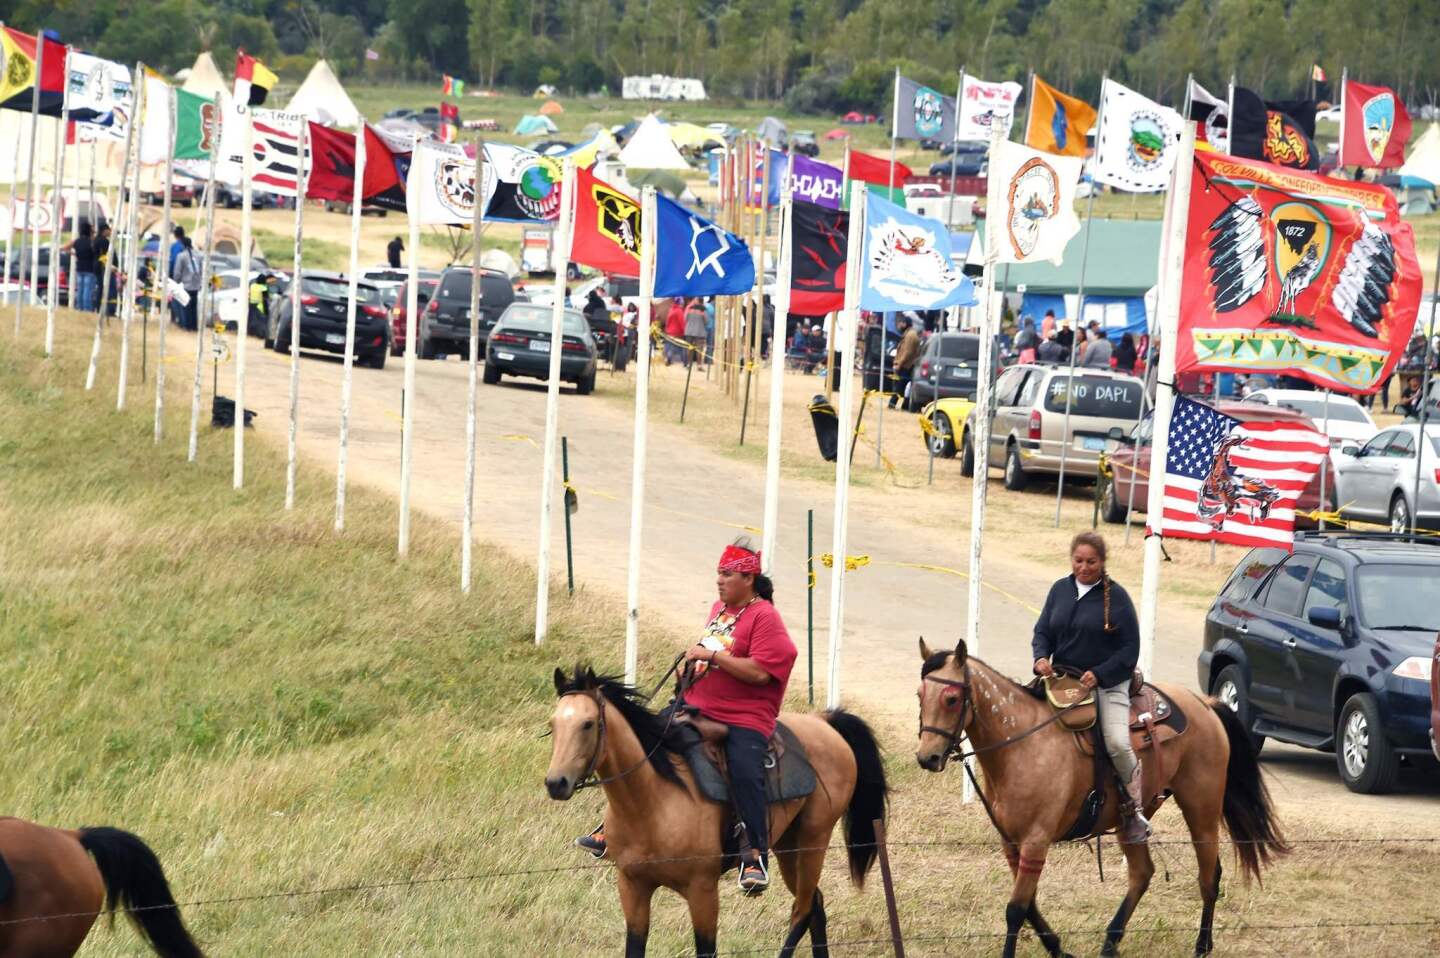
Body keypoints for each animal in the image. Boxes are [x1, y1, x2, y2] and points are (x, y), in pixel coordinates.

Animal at [541, 665, 887, 956]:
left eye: (587, 724)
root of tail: (823, 721)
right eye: (553, 724)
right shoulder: (632, 886)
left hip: (813, 840)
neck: (652, 802)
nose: (556, 783)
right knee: (815, 904)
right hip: (788, 845)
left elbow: (706, 949)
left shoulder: (703, 892)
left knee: (801, 911)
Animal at [915, 633, 1290, 956]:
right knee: (1142, 873)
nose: (927, 757)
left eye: (951, 698)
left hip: (1202, 808)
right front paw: (1059, 949)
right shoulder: (1011, 841)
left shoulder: (1036, 840)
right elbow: (1030, 905)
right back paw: (1110, 943)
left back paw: (1200, 947)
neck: (1022, 743)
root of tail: (1206, 702)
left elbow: (1016, 909)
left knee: (1209, 876)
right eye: (920, 695)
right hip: (1131, 820)